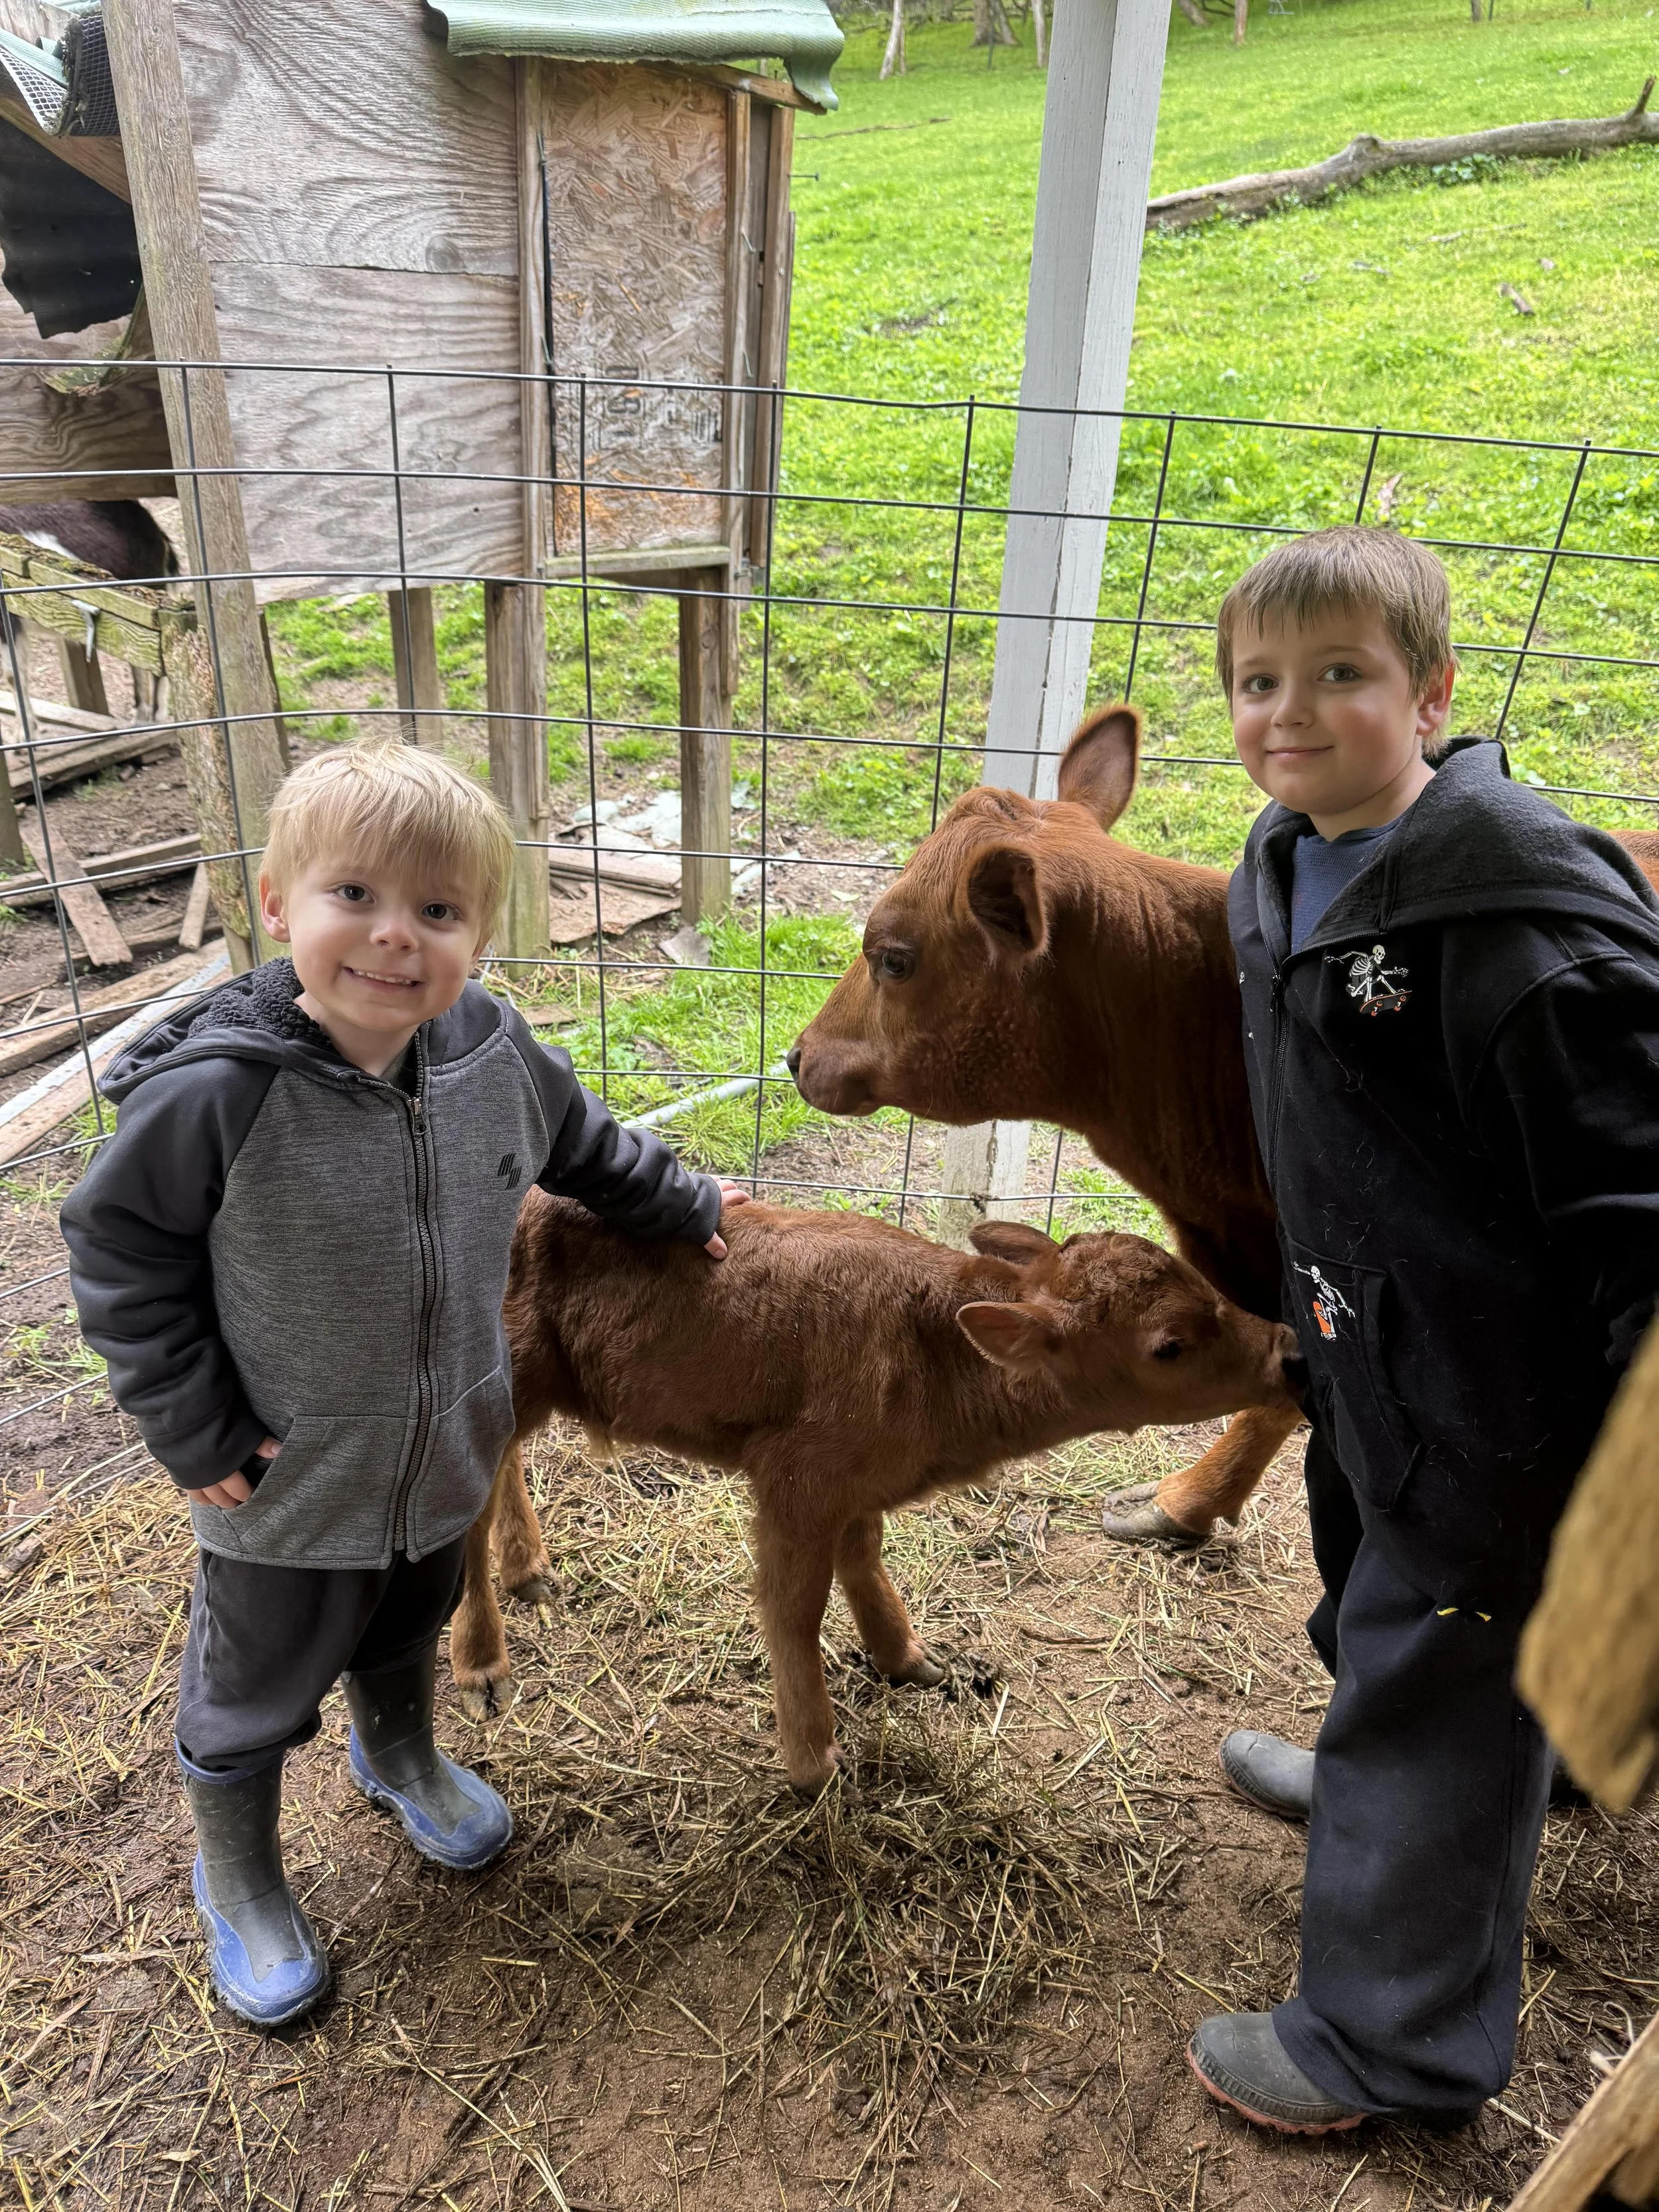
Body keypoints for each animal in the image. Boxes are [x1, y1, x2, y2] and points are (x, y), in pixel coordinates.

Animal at [449, 1195, 1304, 1787]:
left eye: (1201, 1281)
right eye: (1169, 1346)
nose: (1287, 1350)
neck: (933, 1352)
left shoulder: (855, 1484)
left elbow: (863, 1560)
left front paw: (911, 1660)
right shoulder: (795, 1482)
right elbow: (795, 1609)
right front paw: (813, 1760)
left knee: (502, 1466)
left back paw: (529, 1568)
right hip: (504, 1374)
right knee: (464, 1502)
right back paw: (481, 1660)